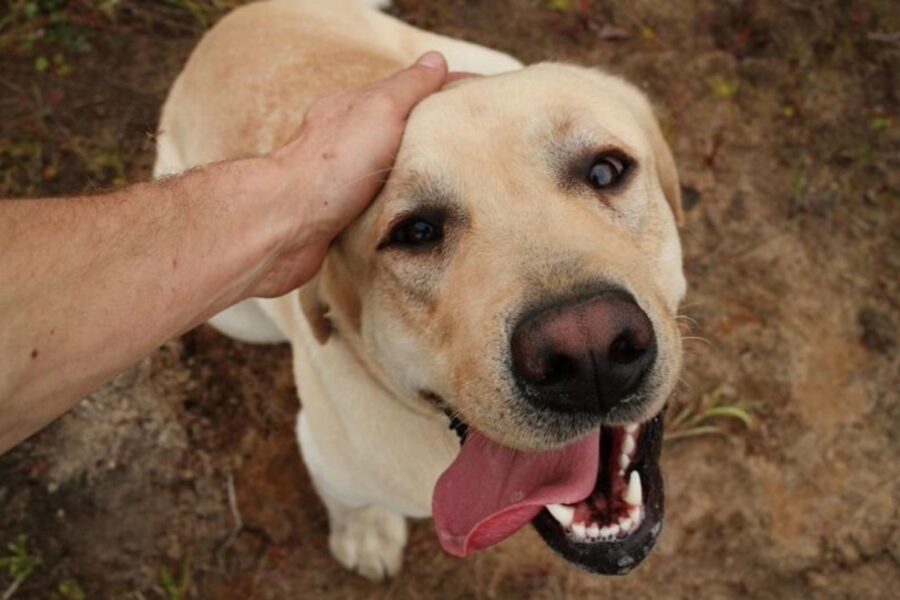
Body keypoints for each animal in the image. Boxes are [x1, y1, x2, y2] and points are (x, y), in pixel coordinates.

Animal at [158, 0, 684, 584]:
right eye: (417, 231)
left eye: (605, 171)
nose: (588, 349)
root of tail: (234, 21)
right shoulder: (323, 452)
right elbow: (350, 501)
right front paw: (365, 534)